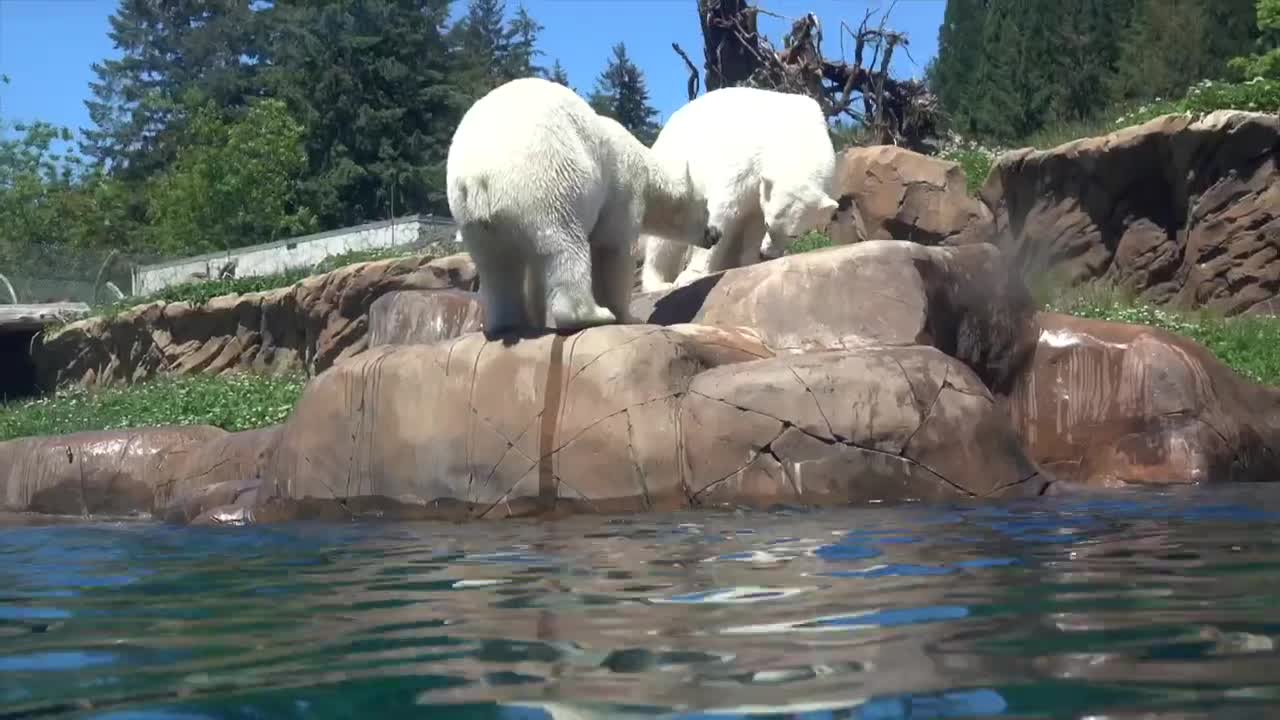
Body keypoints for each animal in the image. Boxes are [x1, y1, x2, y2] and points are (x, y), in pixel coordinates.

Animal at [445, 77, 716, 333]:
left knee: (496, 266)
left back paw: (508, 323)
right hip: (548, 182)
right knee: (565, 246)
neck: (647, 170)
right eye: (707, 207)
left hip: (473, 219)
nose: (715, 233)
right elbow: (613, 248)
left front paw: (536, 317)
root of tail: (477, 176)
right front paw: (627, 316)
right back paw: (592, 315)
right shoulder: (624, 189)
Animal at [640, 87, 860, 292]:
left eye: (794, 235)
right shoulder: (745, 163)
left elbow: (752, 221)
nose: (768, 254)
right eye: (770, 224)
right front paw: (692, 274)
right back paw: (658, 283)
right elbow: (724, 211)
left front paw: (749, 263)